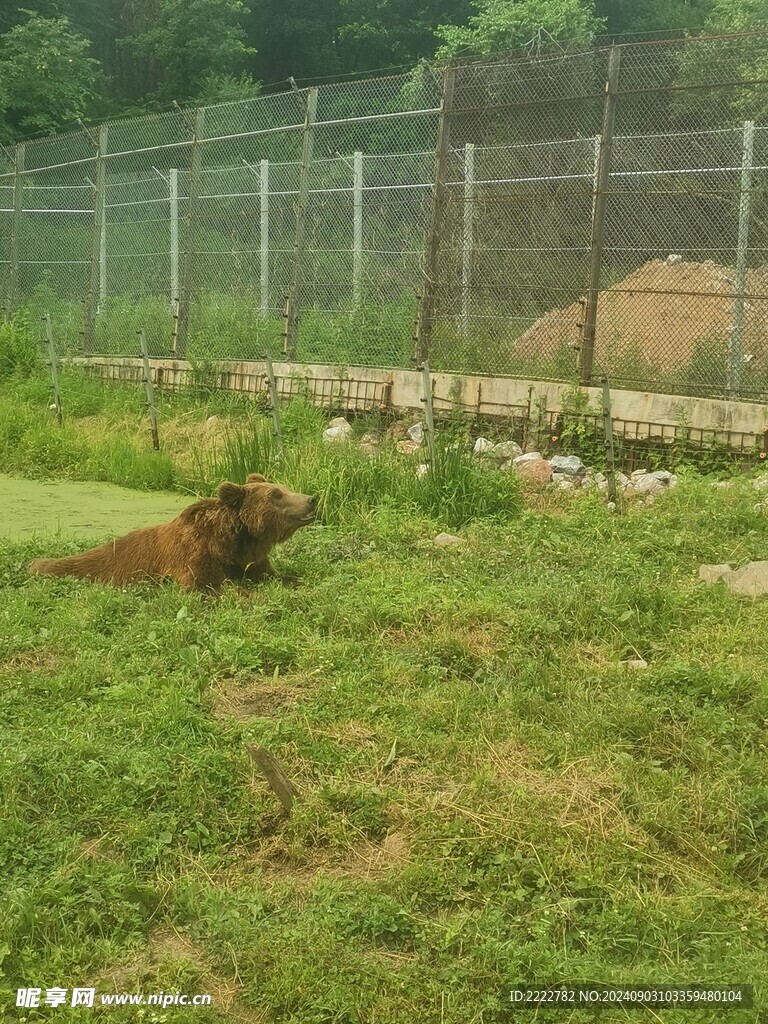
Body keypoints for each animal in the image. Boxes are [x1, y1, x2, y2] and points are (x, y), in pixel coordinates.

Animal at [27, 471, 315, 593]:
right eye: (276, 494)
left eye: (285, 488)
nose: (311, 499)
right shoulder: (193, 557)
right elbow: (209, 586)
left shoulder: (250, 559)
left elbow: (273, 576)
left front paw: (296, 581)